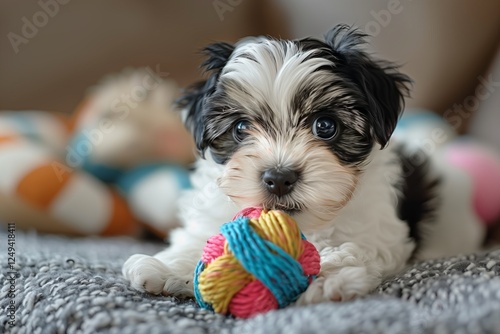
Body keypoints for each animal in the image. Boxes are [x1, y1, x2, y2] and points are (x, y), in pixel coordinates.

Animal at [123, 24, 486, 304]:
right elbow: (197, 237)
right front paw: (168, 268)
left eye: (325, 126)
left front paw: (328, 275)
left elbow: (359, 247)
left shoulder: (379, 230)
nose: (278, 177)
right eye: (241, 128)